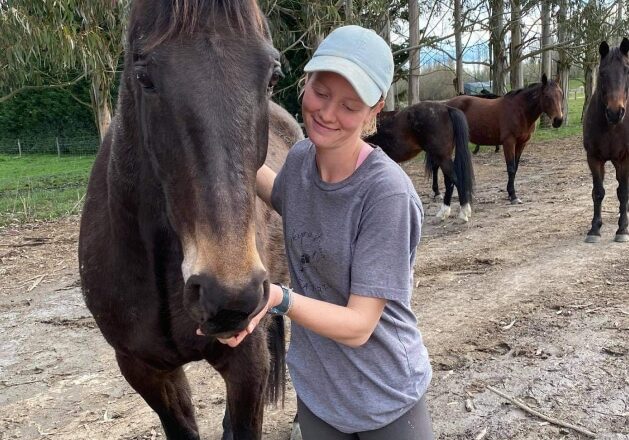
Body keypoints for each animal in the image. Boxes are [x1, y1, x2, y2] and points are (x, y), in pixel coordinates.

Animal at [446, 75, 564, 205]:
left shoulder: (521, 143)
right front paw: (513, 196)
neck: (520, 110)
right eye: (547, 96)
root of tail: (446, 104)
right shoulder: (509, 142)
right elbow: (511, 168)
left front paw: (510, 193)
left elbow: (515, 168)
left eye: (561, 94)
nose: (558, 120)